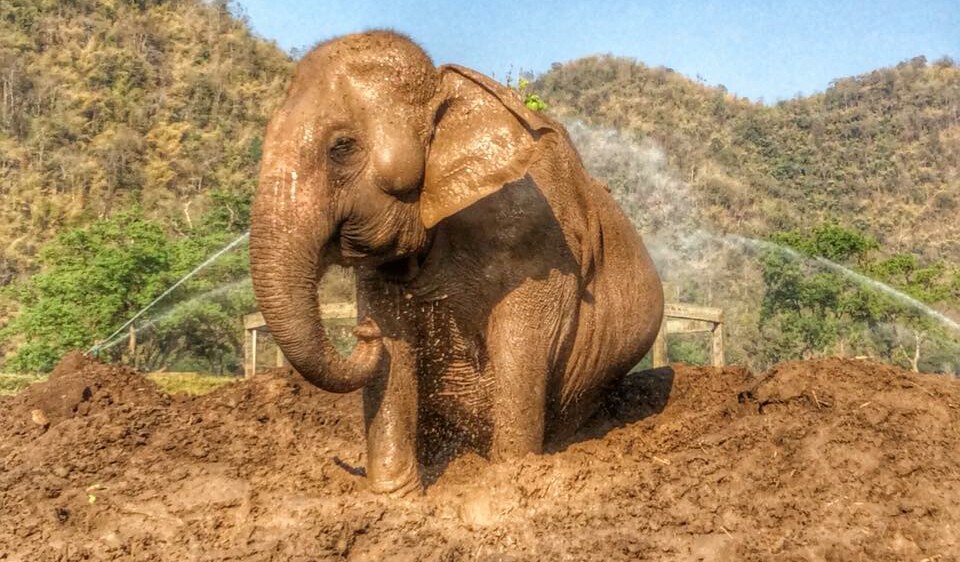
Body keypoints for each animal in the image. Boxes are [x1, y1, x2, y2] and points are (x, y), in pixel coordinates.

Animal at [251, 31, 664, 494]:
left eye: (341, 148)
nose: (361, 332)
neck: (444, 87)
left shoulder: (535, 233)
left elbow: (519, 347)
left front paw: (508, 482)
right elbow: (394, 352)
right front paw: (395, 497)